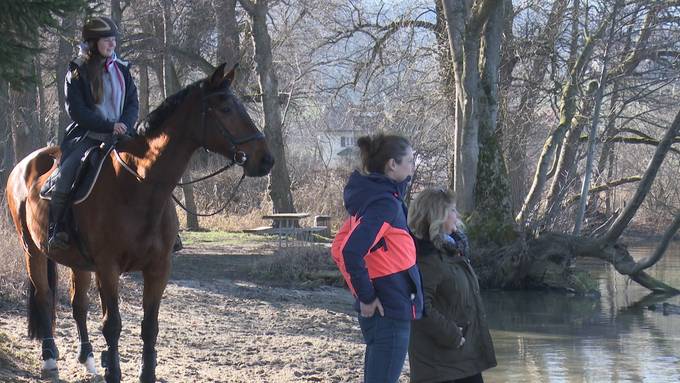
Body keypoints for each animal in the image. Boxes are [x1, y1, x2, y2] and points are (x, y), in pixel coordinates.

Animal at [4, 63, 274, 383]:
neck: (140, 185)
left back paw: (89, 360)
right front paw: (114, 371)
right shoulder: (108, 268)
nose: (266, 160)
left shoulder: (158, 268)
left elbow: (150, 326)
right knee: (45, 298)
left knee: (78, 305)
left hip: (78, 262)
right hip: (31, 250)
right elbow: (112, 324)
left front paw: (145, 373)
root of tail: (25, 163)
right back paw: (49, 359)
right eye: (225, 108)